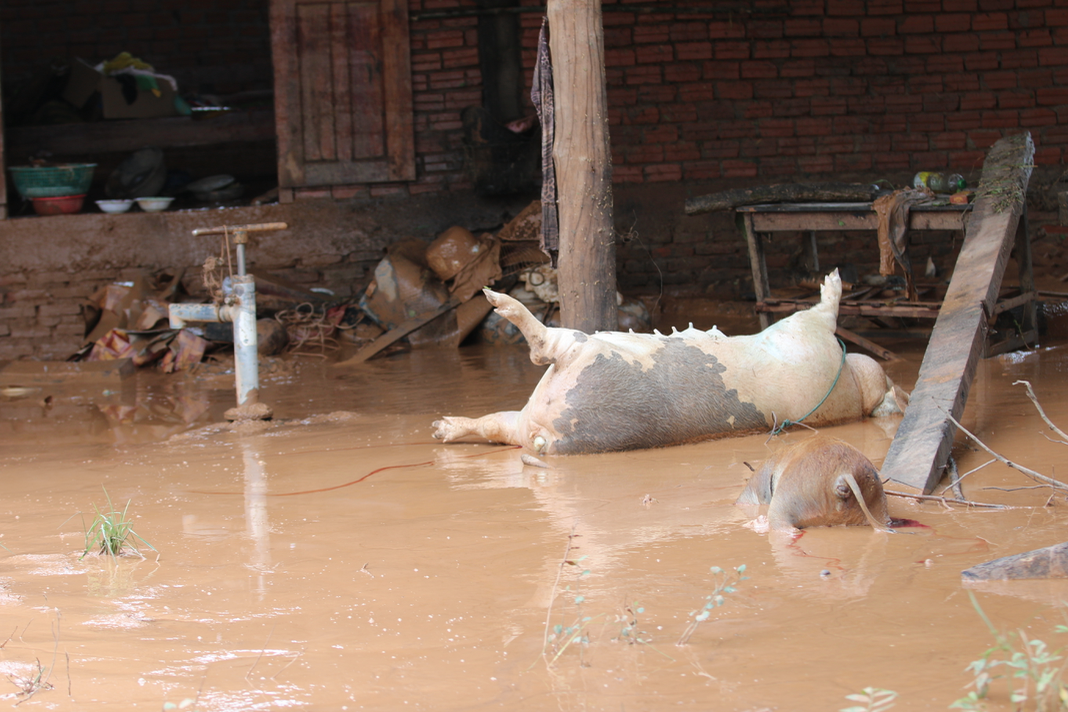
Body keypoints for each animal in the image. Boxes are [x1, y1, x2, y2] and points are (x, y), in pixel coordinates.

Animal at [429, 270, 905, 454]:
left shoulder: (809, 332)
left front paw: (833, 280)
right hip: (533, 412)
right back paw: (440, 429)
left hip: (582, 356)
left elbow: (826, 309)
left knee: (544, 345)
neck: (855, 385)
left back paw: (495, 297)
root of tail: (547, 439)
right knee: (496, 424)